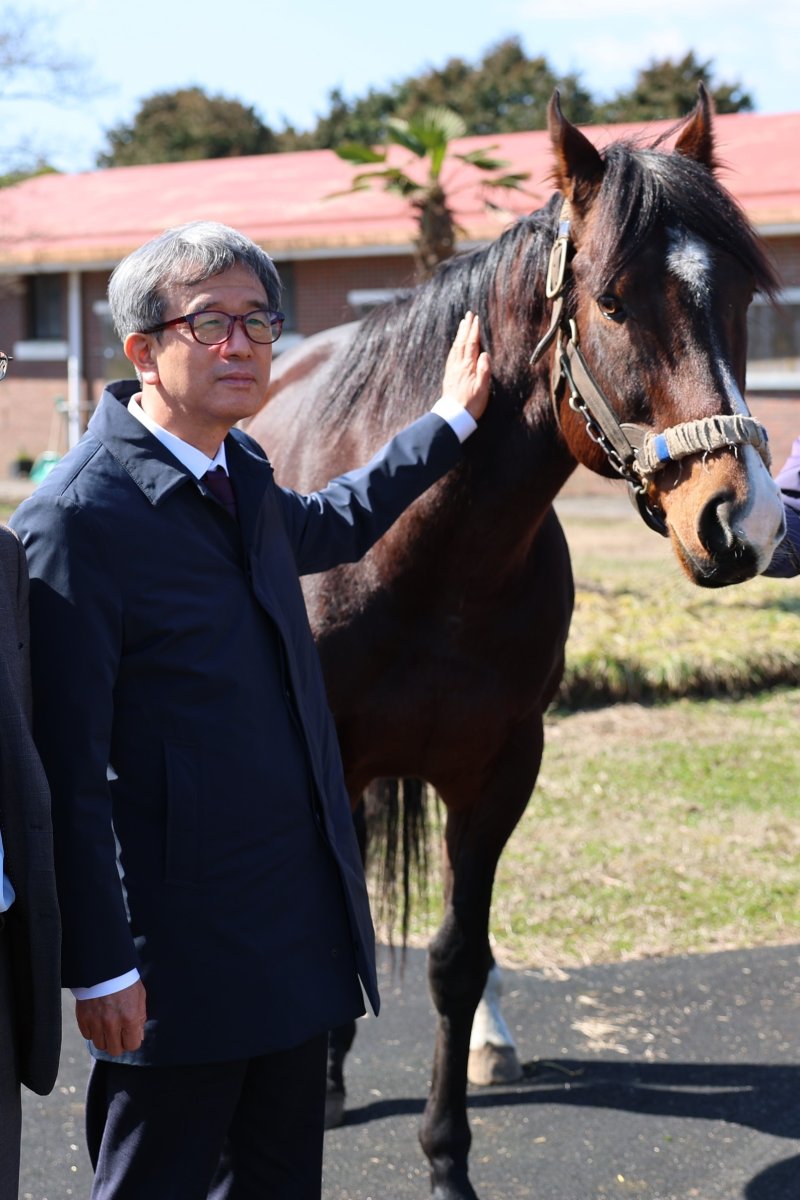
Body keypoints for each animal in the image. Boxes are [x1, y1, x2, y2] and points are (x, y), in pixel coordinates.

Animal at [247, 87, 786, 1200]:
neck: (425, 547)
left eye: (743, 302)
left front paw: (447, 1157)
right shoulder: (332, 758)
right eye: (614, 302)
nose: (743, 523)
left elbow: (460, 957)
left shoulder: (502, 768)